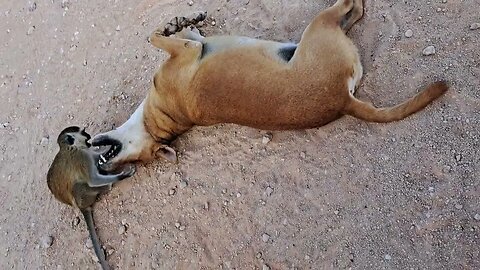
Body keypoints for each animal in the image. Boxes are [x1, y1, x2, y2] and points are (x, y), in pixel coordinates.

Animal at [46, 125, 135, 268]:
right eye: (83, 132)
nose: (89, 136)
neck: (73, 148)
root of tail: (82, 207)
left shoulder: (86, 152)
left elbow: (96, 156)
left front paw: (107, 150)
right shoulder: (83, 157)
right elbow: (93, 179)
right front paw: (123, 175)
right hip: (84, 196)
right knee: (80, 185)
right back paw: (107, 185)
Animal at [91, 0, 446, 166]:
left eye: (126, 159)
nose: (105, 169)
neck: (161, 120)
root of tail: (343, 101)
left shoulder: (192, 46)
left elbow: (174, 34)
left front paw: (183, 22)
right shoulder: (188, 52)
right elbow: (155, 36)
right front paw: (172, 27)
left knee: (353, 14)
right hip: (319, 29)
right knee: (350, 9)